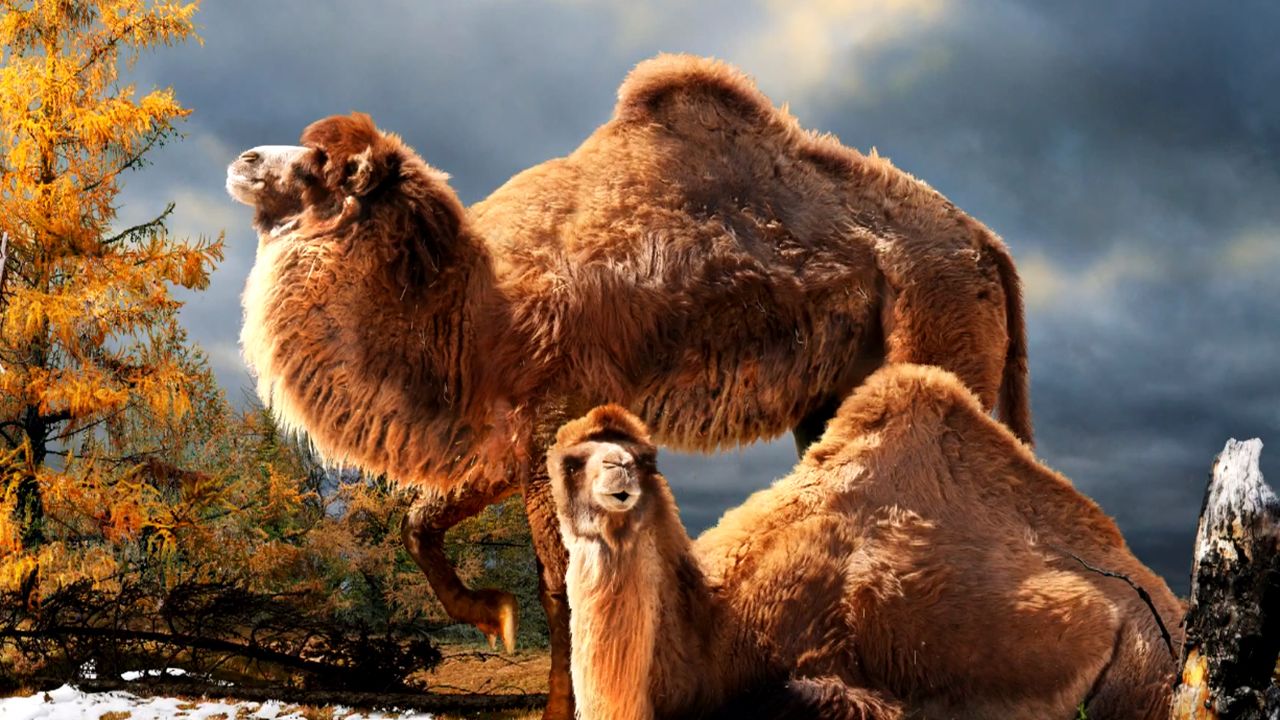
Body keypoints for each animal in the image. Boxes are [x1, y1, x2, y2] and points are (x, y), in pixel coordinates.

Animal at [226, 55, 1032, 718]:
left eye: (324, 163)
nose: (245, 158)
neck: (468, 307)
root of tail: (990, 247)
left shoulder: (554, 404)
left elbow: (559, 583)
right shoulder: (516, 432)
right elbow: (422, 523)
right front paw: (495, 619)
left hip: (937, 324)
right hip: (837, 394)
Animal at [550, 365, 1183, 720]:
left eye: (646, 458)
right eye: (570, 461)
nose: (619, 474)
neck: (714, 626)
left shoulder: (829, 683)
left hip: (1144, 675)